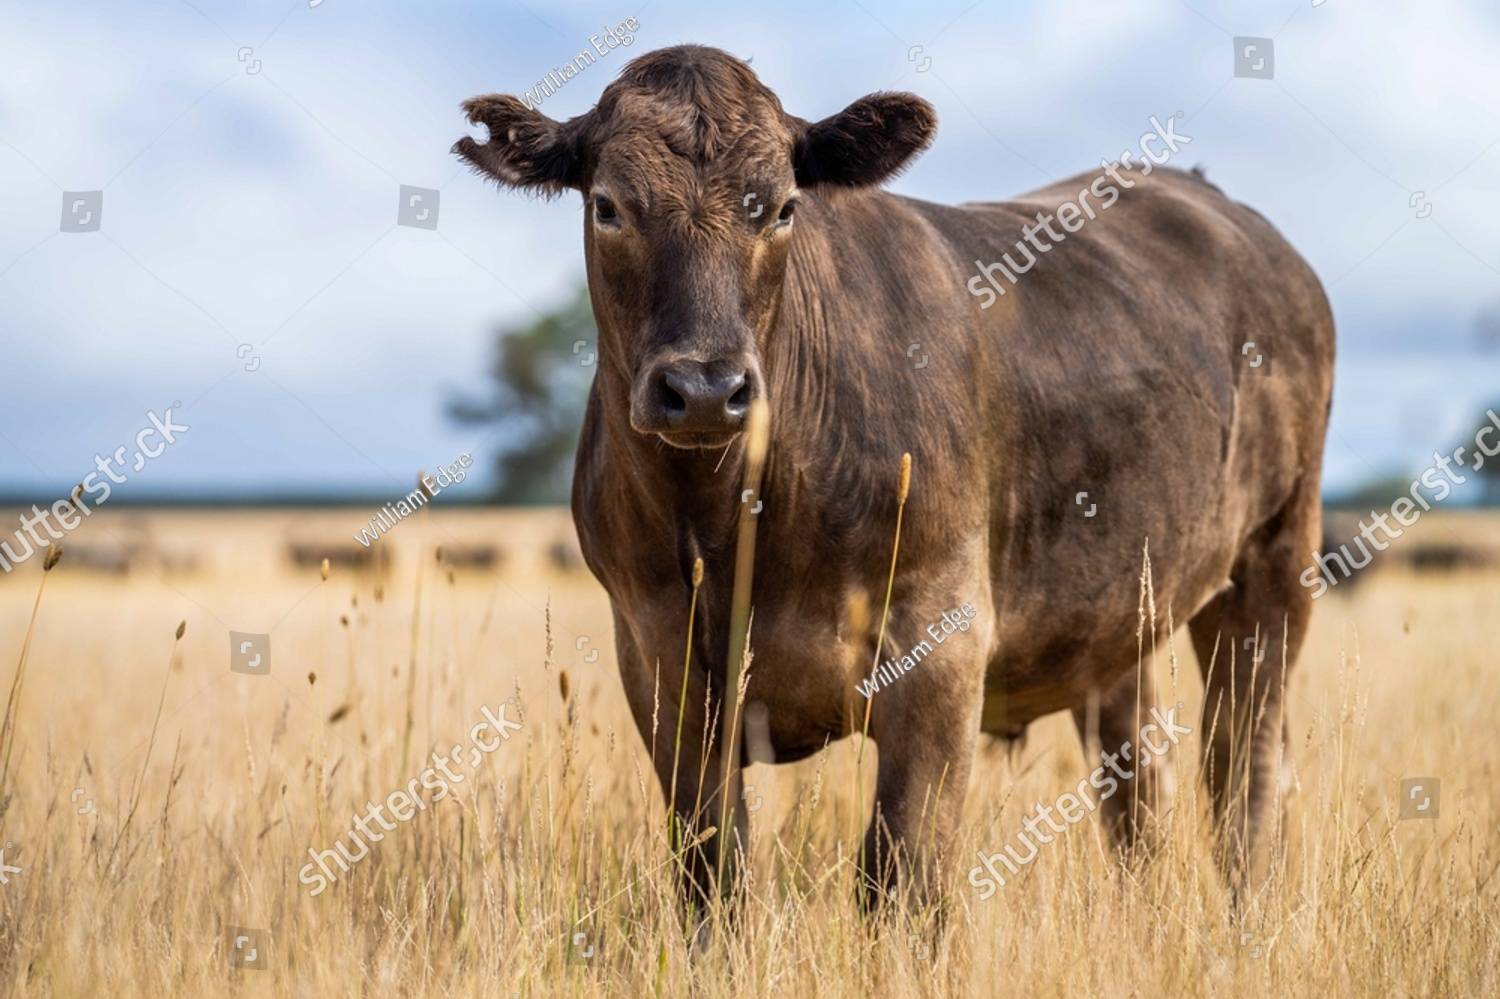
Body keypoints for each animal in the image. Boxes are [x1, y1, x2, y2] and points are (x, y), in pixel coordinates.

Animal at [454, 44, 1335, 910]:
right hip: (1123, 608)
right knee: (1139, 783)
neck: (731, 521)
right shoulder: (659, 660)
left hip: (1275, 558)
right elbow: (714, 870)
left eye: (782, 208)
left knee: (1244, 767)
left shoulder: (942, 640)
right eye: (608, 206)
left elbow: (899, 872)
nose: (704, 387)